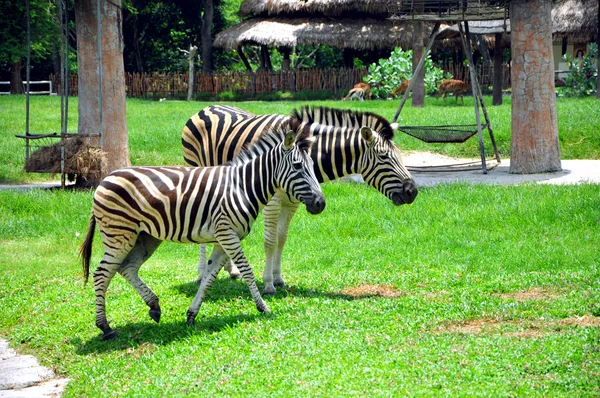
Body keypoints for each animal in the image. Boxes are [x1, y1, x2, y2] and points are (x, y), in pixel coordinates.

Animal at [80, 123, 326, 338]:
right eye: (297, 167)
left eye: (313, 167)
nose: (320, 204)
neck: (242, 187)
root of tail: (105, 179)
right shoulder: (227, 234)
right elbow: (247, 272)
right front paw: (263, 307)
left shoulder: (223, 239)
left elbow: (208, 278)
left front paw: (191, 315)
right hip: (120, 234)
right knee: (102, 274)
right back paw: (106, 328)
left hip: (145, 237)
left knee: (126, 268)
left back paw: (154, 306)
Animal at [183, 105, 418, 296]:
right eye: (384, 158)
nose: (413, 192)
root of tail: (208, 107)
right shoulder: (271, 203)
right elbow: (270, 242)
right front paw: (268, 284)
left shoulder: (292, 203)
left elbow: (281, 239)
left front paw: (278, 278)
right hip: (198, 170)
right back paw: (202, 272)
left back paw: (231, 270)